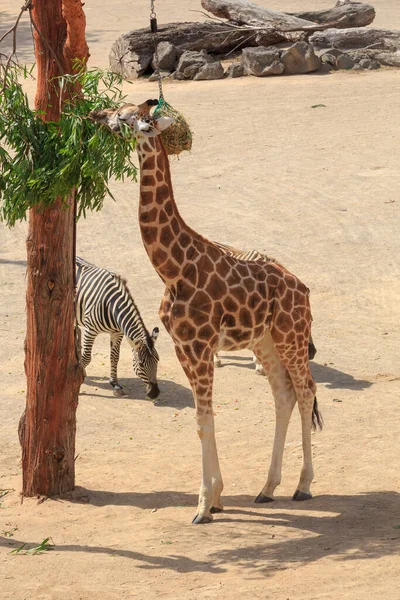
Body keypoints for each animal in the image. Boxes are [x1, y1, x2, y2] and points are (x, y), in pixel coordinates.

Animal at [76, 256, 160, 398]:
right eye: (141, 364)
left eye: (158, 360)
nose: (155, 393)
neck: (112, 306)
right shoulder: (90, 329)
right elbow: (86, 357)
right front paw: (77, 381)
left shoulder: (117, 333)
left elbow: (115, 357)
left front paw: (115, 384)